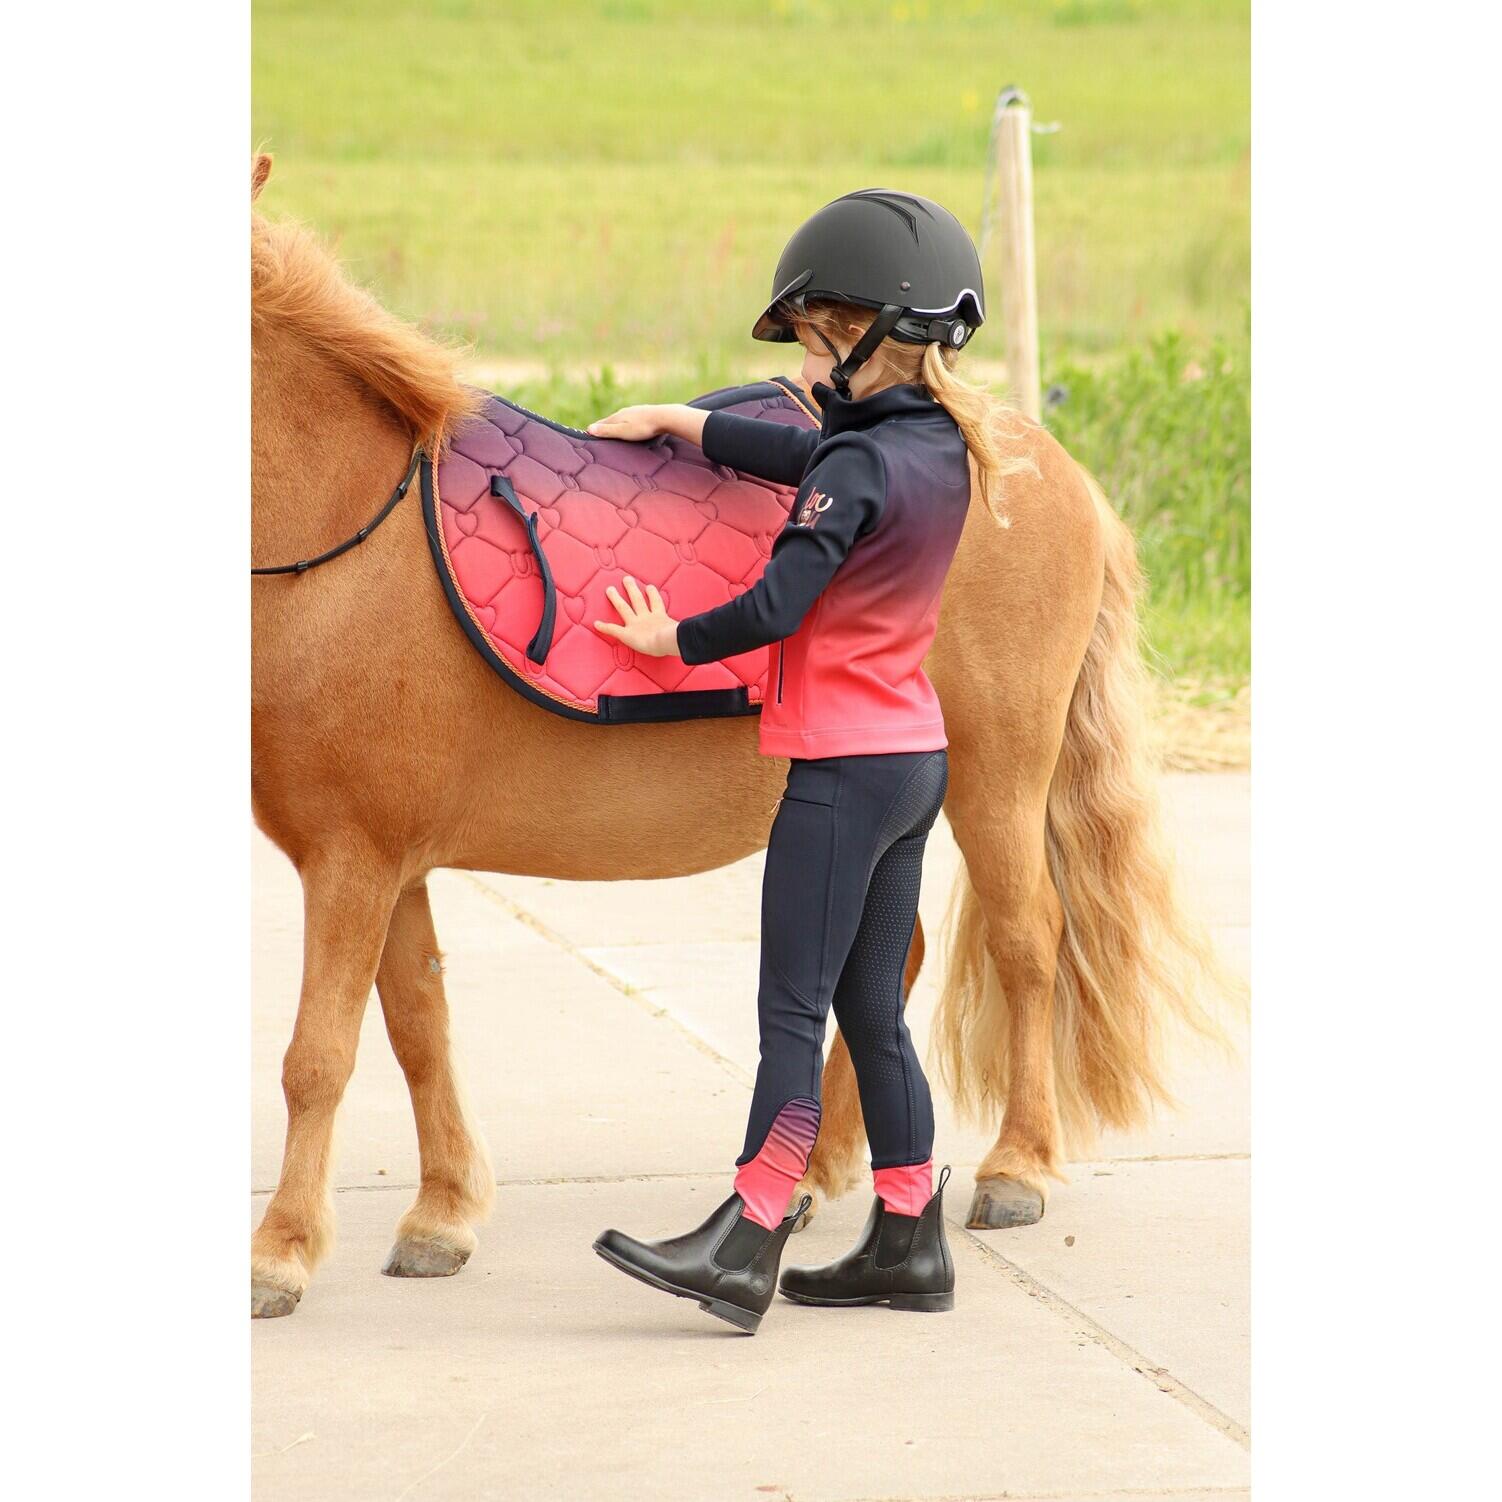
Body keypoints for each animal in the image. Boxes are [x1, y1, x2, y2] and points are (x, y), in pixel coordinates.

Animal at [249, 154, 1225, 1318]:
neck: (356, 533)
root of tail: (1042, 463)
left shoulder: (352, 860)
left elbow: (317, 1054)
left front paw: (280, 1252)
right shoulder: (385, 856)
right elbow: (416, 1026)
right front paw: (441, 1216)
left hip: (998, 777)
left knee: (1026, 941)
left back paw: (1015, 1167)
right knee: (890, 960)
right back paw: (814, 1170)